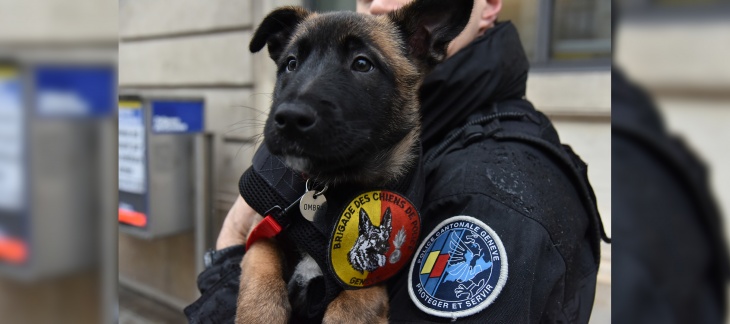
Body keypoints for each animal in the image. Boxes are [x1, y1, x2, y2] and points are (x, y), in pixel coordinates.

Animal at [236, 1, 470, 322]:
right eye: (291, 64)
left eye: (362, 64)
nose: (289, 118)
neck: (331, 184)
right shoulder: (264, 229)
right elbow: (261, 272)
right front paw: (258, 313)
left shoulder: (370, 282)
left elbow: (349, 308)